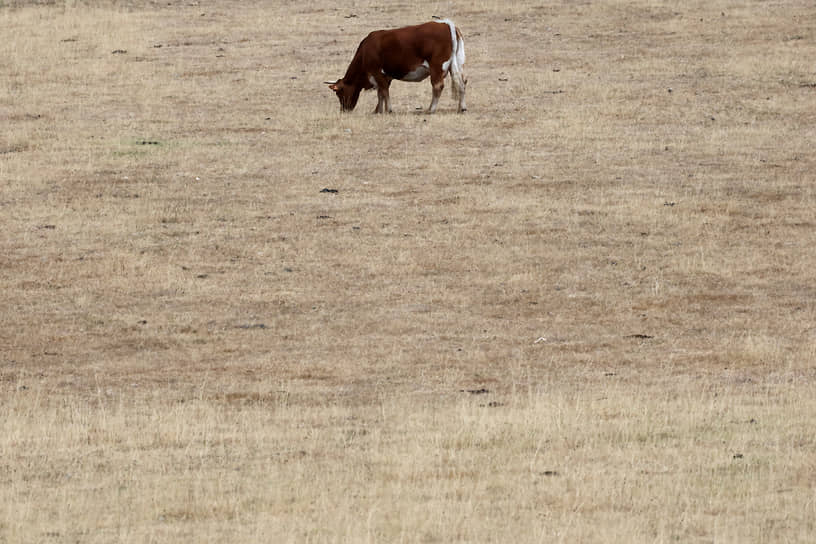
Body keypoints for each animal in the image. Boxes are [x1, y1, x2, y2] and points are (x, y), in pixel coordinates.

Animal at [325, 18, 466, 114]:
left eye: (339, 93)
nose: (343, 110)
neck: (365, 51)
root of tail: (446, 24)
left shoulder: (377, 72)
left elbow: (384, 91)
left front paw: (388, 109)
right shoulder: (385, 76)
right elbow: (381, 93)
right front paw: (378, 110)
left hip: (437, 67)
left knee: (437, 86)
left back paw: (430, 109)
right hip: (456, 65)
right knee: (462, 83)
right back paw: (462, 108)